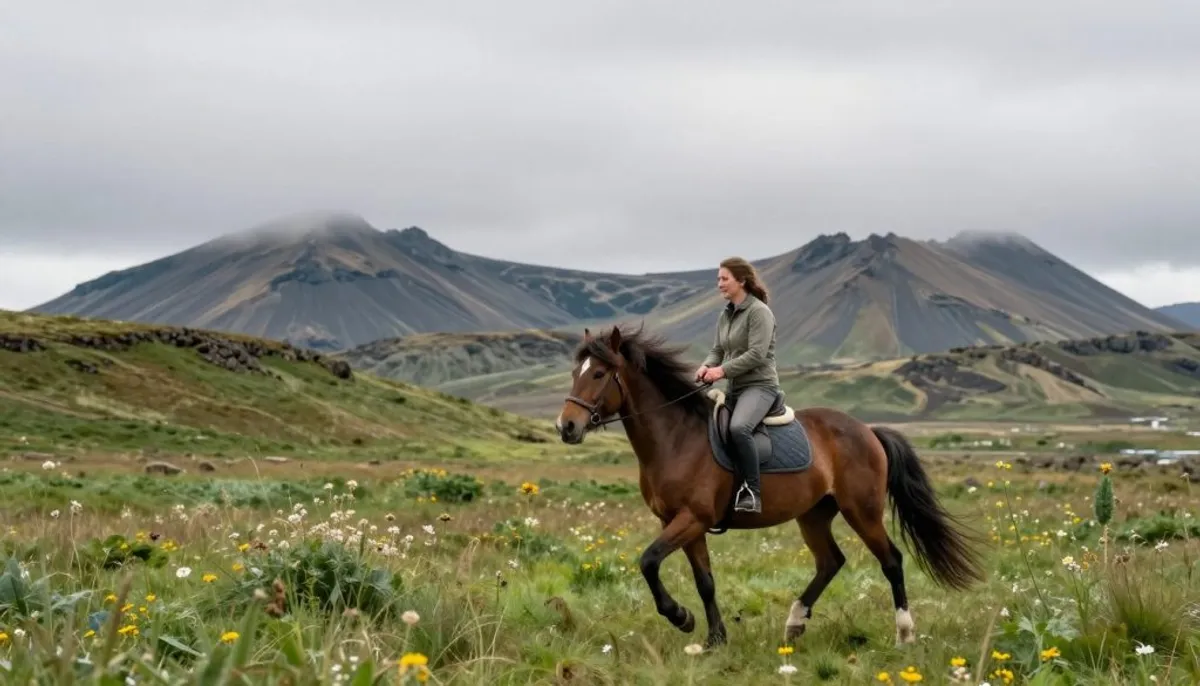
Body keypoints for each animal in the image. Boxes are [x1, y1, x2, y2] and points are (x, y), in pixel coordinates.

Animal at [554, 324, 986, 649]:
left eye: (598, 374)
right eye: (575, 373)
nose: (566, 427)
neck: (675, 438)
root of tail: (868, 431)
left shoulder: (692, 518)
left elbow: (648, 561)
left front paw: (681, 618)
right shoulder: (680, 522)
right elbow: (704, 581)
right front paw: (714, 638)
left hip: (861, 511)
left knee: (891, 561)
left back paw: (904, 633)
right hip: (814, 514)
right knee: (830, 562)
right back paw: (795, 623)